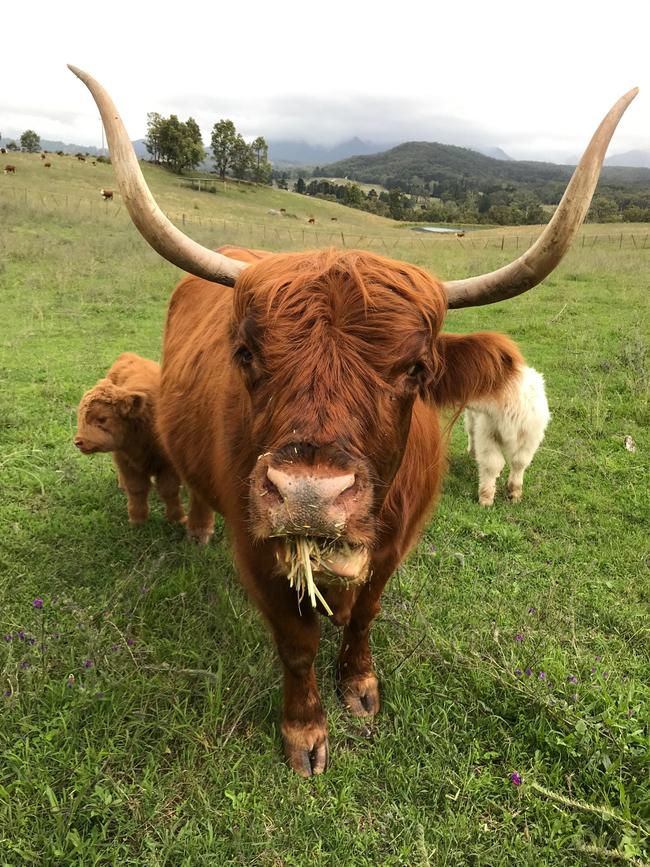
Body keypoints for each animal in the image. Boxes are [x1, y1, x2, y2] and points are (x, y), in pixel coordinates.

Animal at [74, 350, 184, 524]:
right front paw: (137, 520)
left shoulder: (169, 464)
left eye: (102, 418)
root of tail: (128, 355)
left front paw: (177, 518)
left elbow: (170, 490)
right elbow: (136, 490)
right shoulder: (126, 462)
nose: (79, 442)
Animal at [464, 362, 548, 506]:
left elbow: (519, 462)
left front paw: (514, 493)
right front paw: (486, 498)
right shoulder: (487, 434)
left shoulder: (530, 440)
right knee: (471, 433)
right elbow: (492, 463)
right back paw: (473, 452)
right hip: (472, 419)